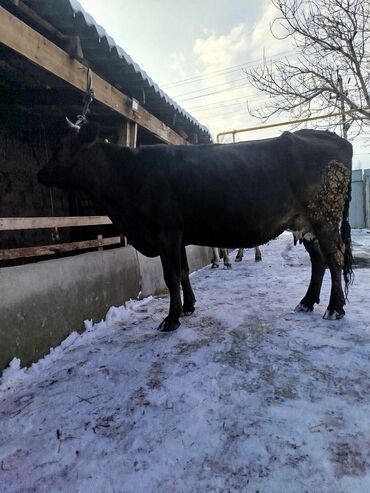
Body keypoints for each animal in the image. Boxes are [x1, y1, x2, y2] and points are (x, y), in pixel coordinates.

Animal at [37, 121, 352, 332]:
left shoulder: (165, 233)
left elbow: (170, 276)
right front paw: (188, 308)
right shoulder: (179, 235)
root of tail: (332, 138)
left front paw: (171, 319)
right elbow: (184, 272)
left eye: (60, 148)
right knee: (319, 261)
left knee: (334, 258)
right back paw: (307, 302)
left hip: (324, 216)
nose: (40, 174)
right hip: (305, 224)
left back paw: (334, 308)